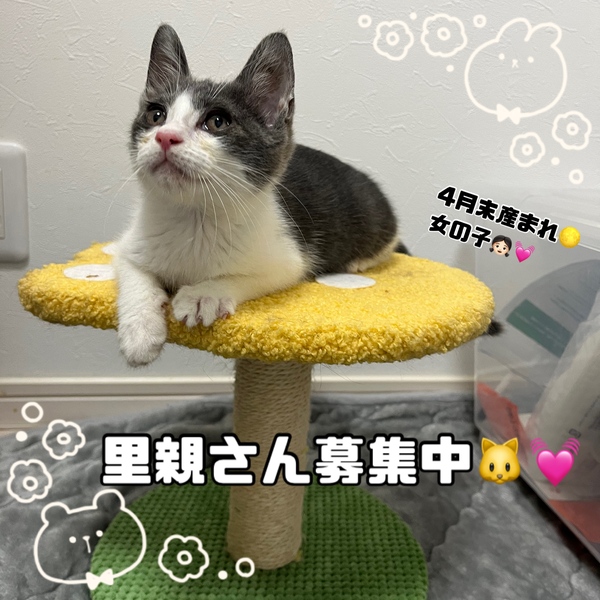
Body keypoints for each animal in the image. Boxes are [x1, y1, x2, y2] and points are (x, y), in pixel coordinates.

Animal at [114, 24, 405, 367]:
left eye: (217, 122)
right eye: (156, 115)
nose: (165, 136)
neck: (193, 217)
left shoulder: (288, 260)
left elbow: (249, 276)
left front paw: (203, 295)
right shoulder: (129, 244)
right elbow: (132, 270)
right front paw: (140, 331)